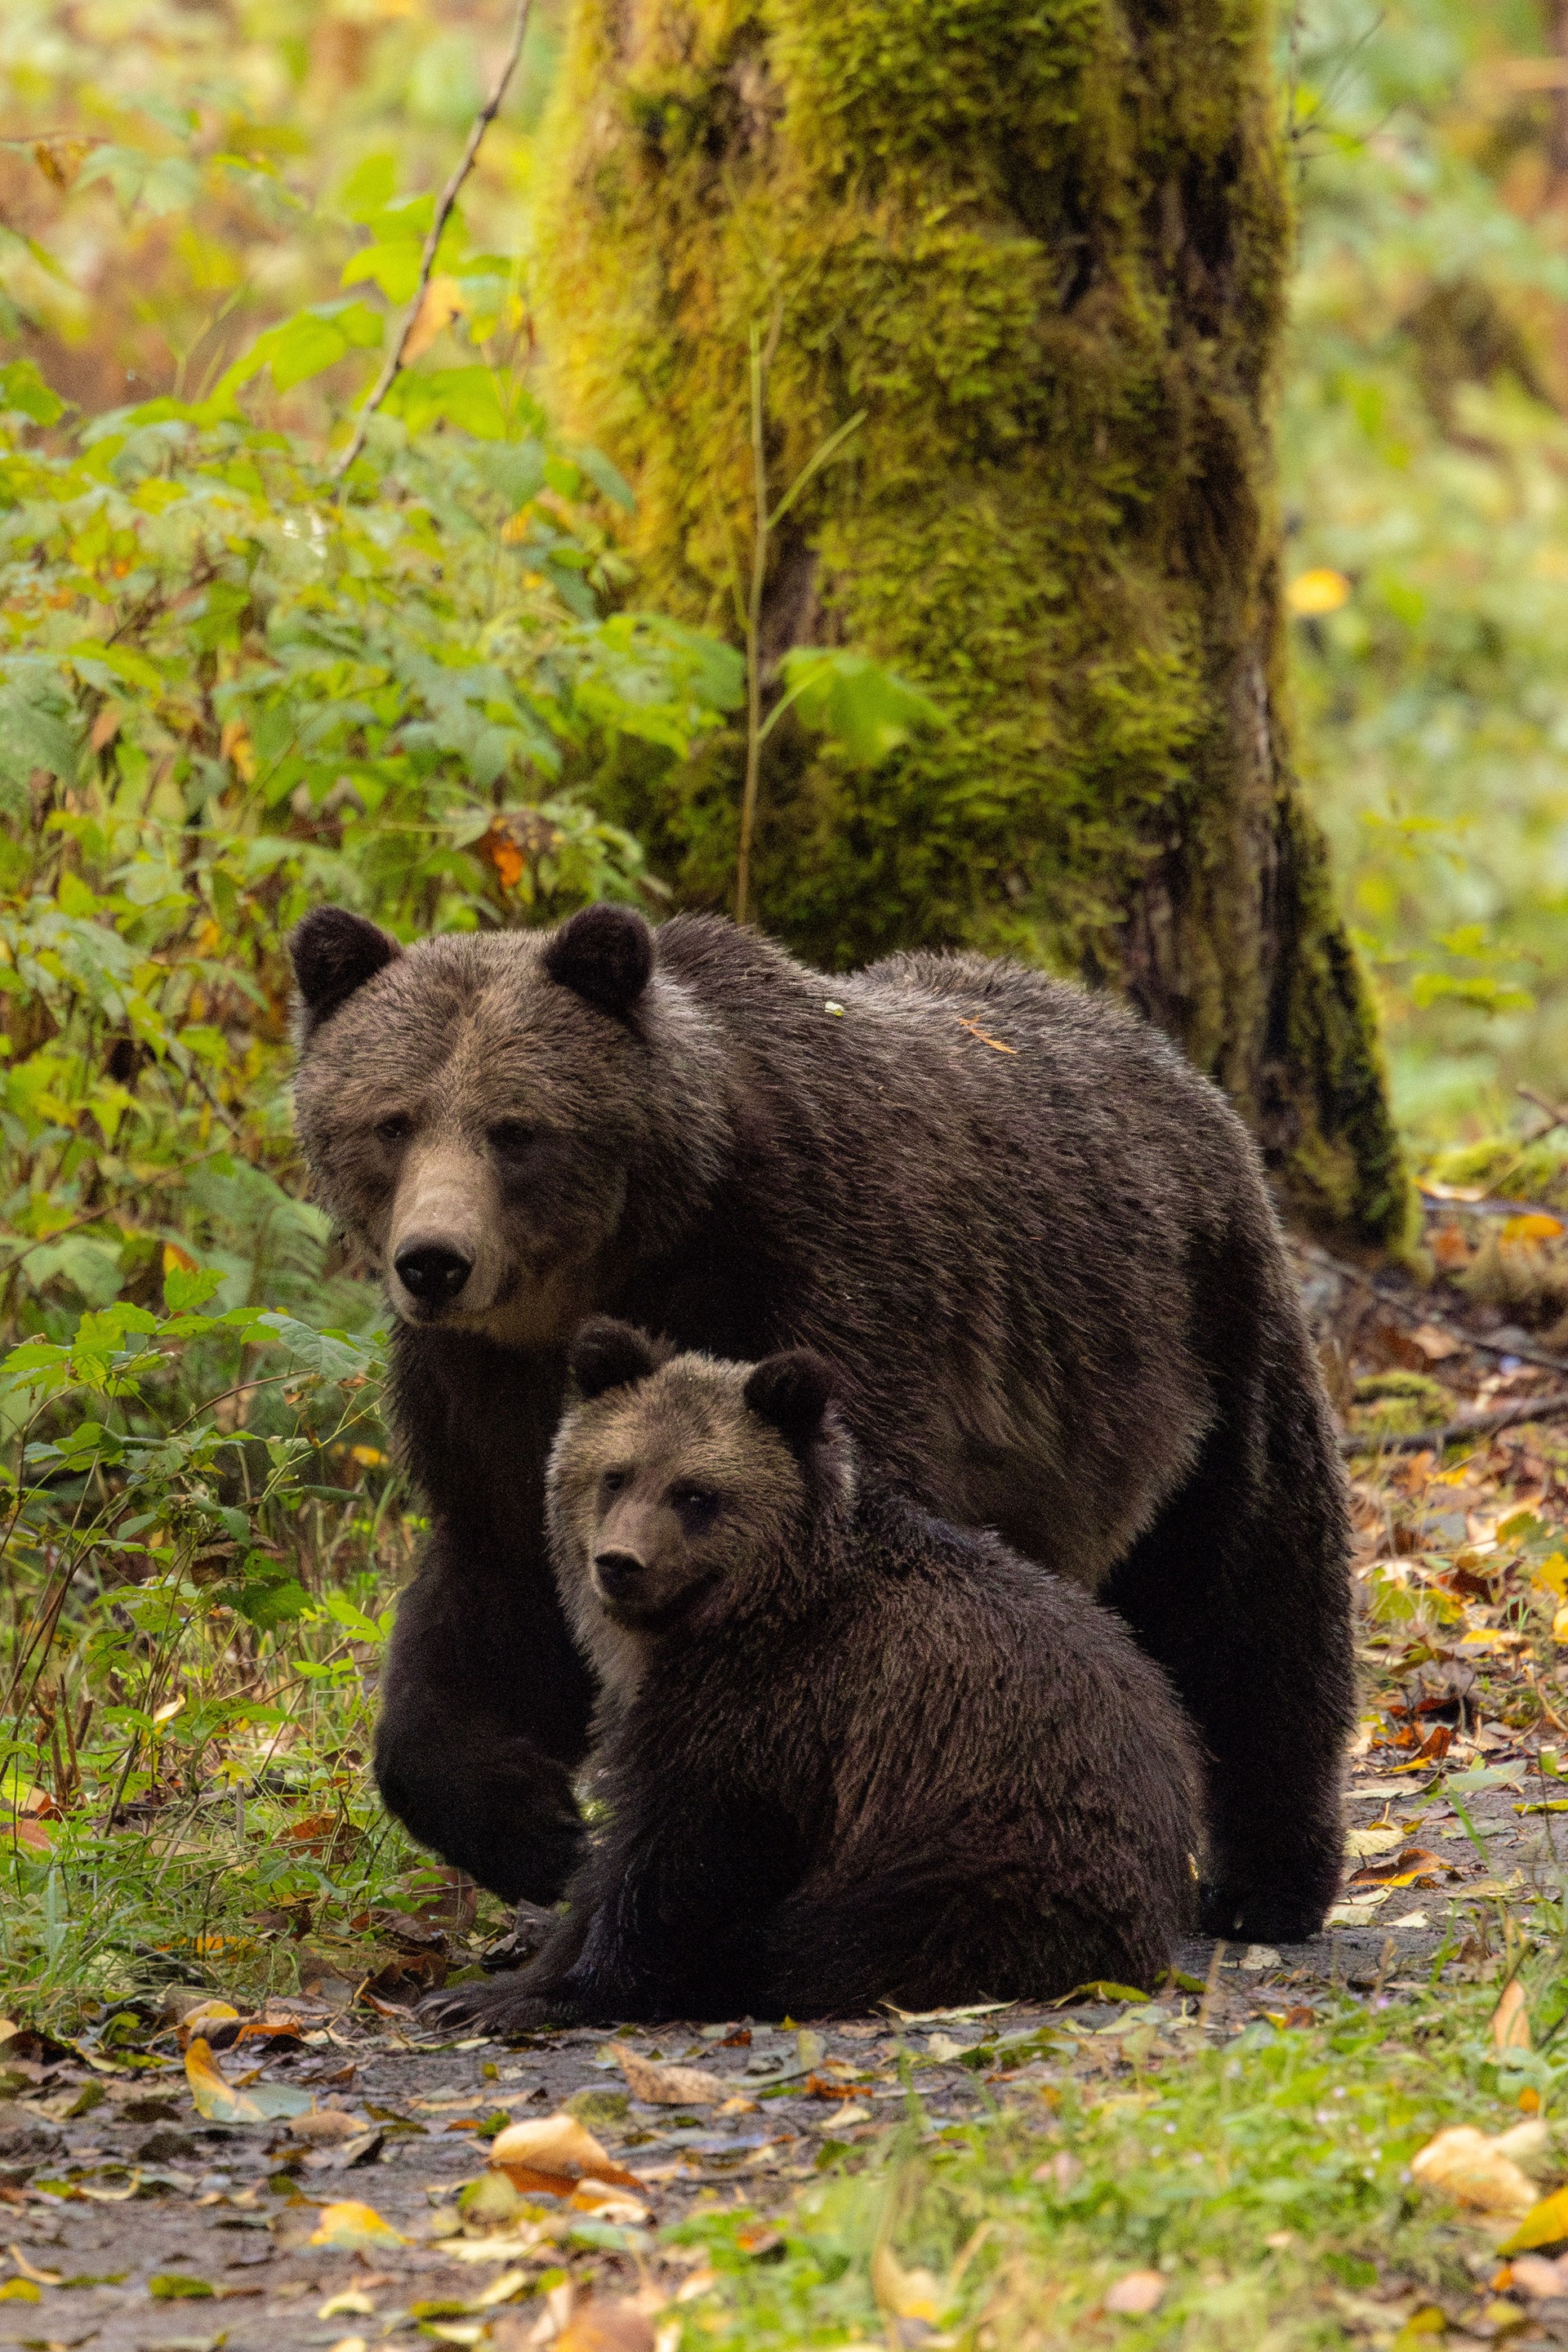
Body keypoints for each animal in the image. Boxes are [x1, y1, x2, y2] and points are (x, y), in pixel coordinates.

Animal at [289, 899, 1354, 1942]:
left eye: (514, 1128)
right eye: (392, 1121)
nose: (434, 1260)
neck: (615, 1266)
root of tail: (1159, 1051)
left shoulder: (818, 1273)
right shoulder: (485, 1391)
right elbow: (496, 1593)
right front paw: (533, 1828)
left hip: (1198, 1334)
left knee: (1253, 1586)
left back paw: (1267, 1881)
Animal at [425, 1318, 1203, 2030]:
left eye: (696, 1494)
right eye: (615, 1475)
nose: (619, 1563)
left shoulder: (779, 1717)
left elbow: (679, 1866)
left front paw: (552, 1994)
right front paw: (486, 1988)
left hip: (989, 1845)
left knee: (845, 1937)